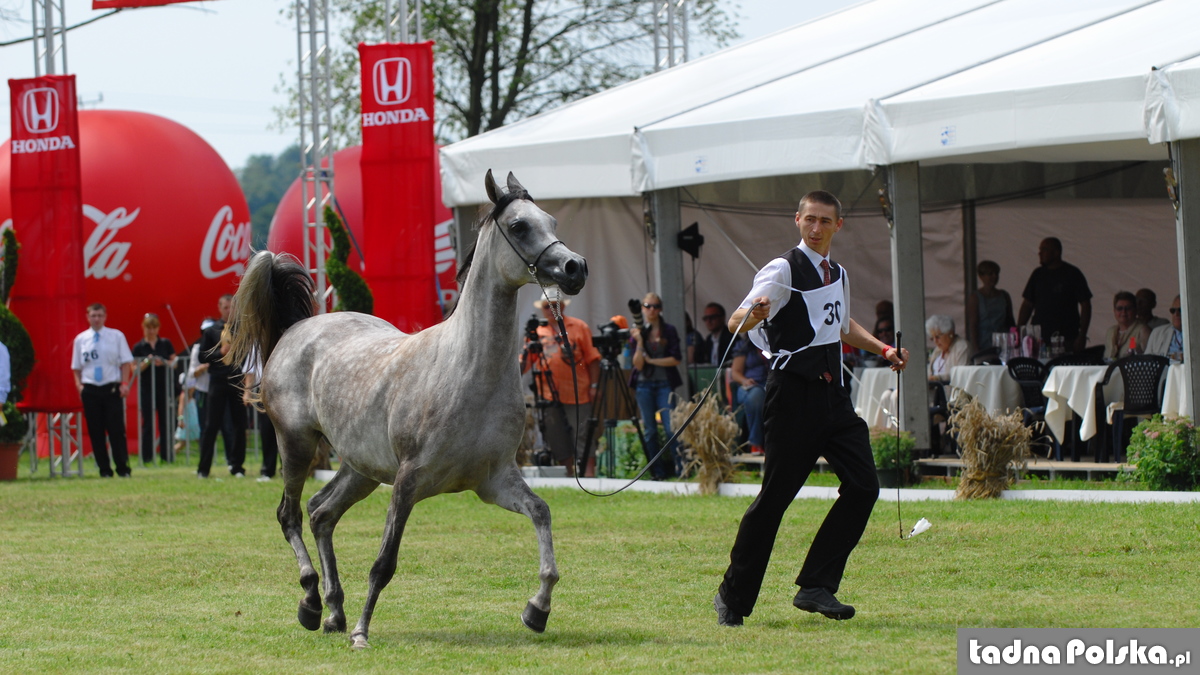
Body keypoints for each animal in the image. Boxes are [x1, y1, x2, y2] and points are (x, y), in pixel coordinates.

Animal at [226, 170, 588, 643]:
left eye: (552, 222)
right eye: (520, 226)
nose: (575, 268)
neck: (467, 370)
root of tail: (295, 330)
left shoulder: (495, 481)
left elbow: (541, 513)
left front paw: (537, 609)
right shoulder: (408, 481)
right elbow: (384, 563)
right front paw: (362, 633)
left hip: (360, 468)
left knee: (322, 513)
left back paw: (334, 611)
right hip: (297, 447)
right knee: (289, 515)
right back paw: (311, 602)